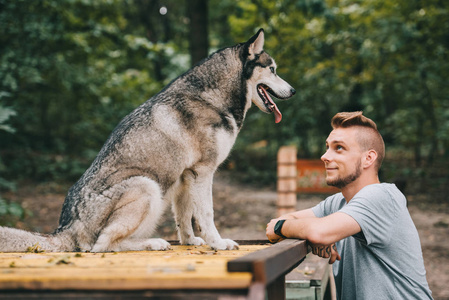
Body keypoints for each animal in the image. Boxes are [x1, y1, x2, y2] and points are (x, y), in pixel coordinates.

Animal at [0, 29, 294, 252]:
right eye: (273, 70)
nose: (293, 91)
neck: (212, 97)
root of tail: (66, 229)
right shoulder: (202, 173)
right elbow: (206, 215)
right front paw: (218, 243)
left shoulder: (185, 177)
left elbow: (185, 218)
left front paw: (190, 242)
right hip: (147, 185)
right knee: (103, 245)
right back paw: (152, 243)